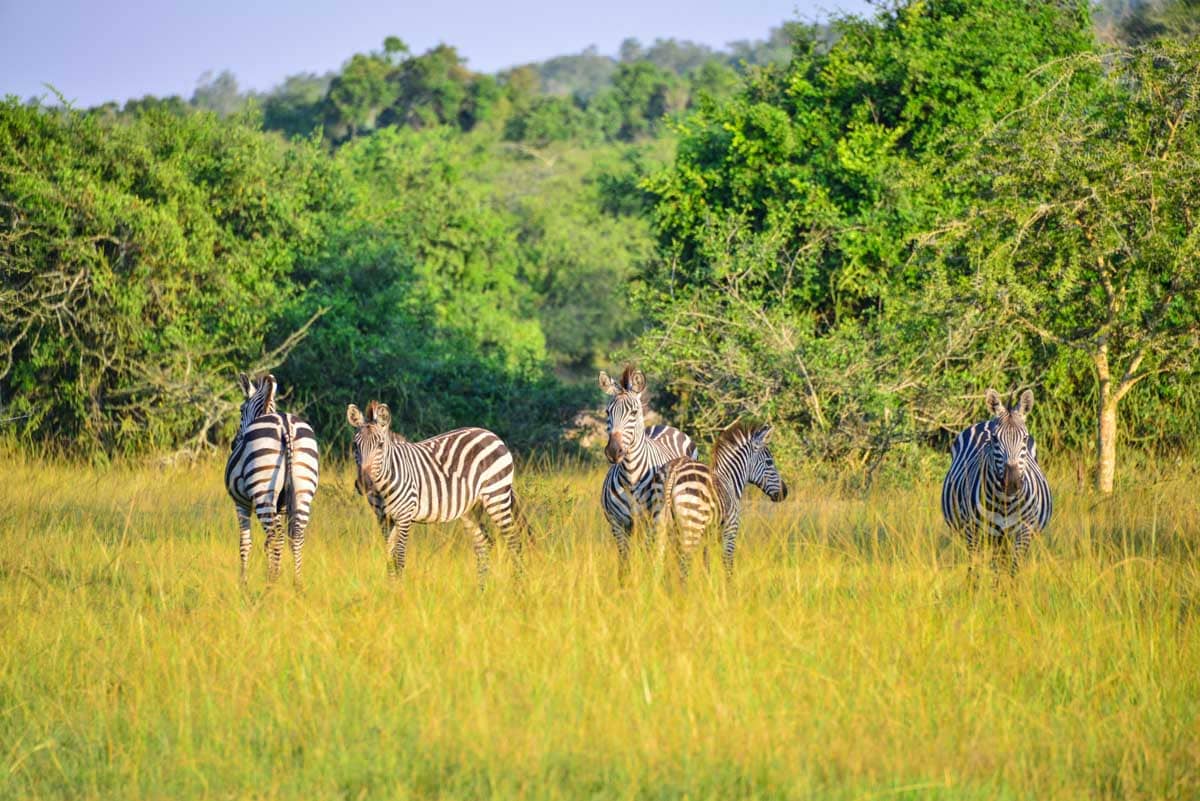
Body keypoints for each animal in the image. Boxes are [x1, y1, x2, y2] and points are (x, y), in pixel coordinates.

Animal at [224, 373, 320, 586]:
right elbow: (274, 542)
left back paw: (271, 584)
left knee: (275, 536)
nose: (233, 443)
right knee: (296, 536)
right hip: (303, 490)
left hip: (263, 492)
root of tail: (286, 425)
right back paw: (296, 583)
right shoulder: (281, 507)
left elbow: (245, 542)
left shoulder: (240, 503)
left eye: (241, 410)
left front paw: (243, 582)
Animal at [346, 400, 527, 582]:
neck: (382, 487)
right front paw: (392, 588)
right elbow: (389, 559)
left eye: (381, 445)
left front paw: (400, 589)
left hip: (497, 497)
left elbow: (400, 558)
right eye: (355, 445)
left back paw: (517, 586)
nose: (364, 484)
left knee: (514, 542)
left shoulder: (404, 516)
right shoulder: (384, 519)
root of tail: (491, 434)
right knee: (484, 545)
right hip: (471, 510)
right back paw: (481, 589)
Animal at [599, 366, 698, 578]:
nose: (613, 451)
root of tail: (665, 426)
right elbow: (625, 565)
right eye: (607, 412)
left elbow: (654, 561)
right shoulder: (618, 525)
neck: (631, 476)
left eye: (634, 412)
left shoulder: (655, 521)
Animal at [655, 421, 788, 580]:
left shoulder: (708, 536)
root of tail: (674, 470)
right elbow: (728, 565)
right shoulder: (730, 530)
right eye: (769, 462)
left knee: (658, 562)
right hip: (692, 525)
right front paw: (728, 586)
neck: (730, 481)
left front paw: (708, 584)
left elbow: (707, 564)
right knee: (684, 566)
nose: (785, 492)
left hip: (660, 522)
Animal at [941, 388, 1052, 580]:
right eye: (994, 439)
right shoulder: (974, 532)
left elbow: (1012, 571)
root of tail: (986, 421)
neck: (1005, 502)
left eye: (1024, 438)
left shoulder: (1023, 532)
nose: (1012, 483)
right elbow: (975, 571)